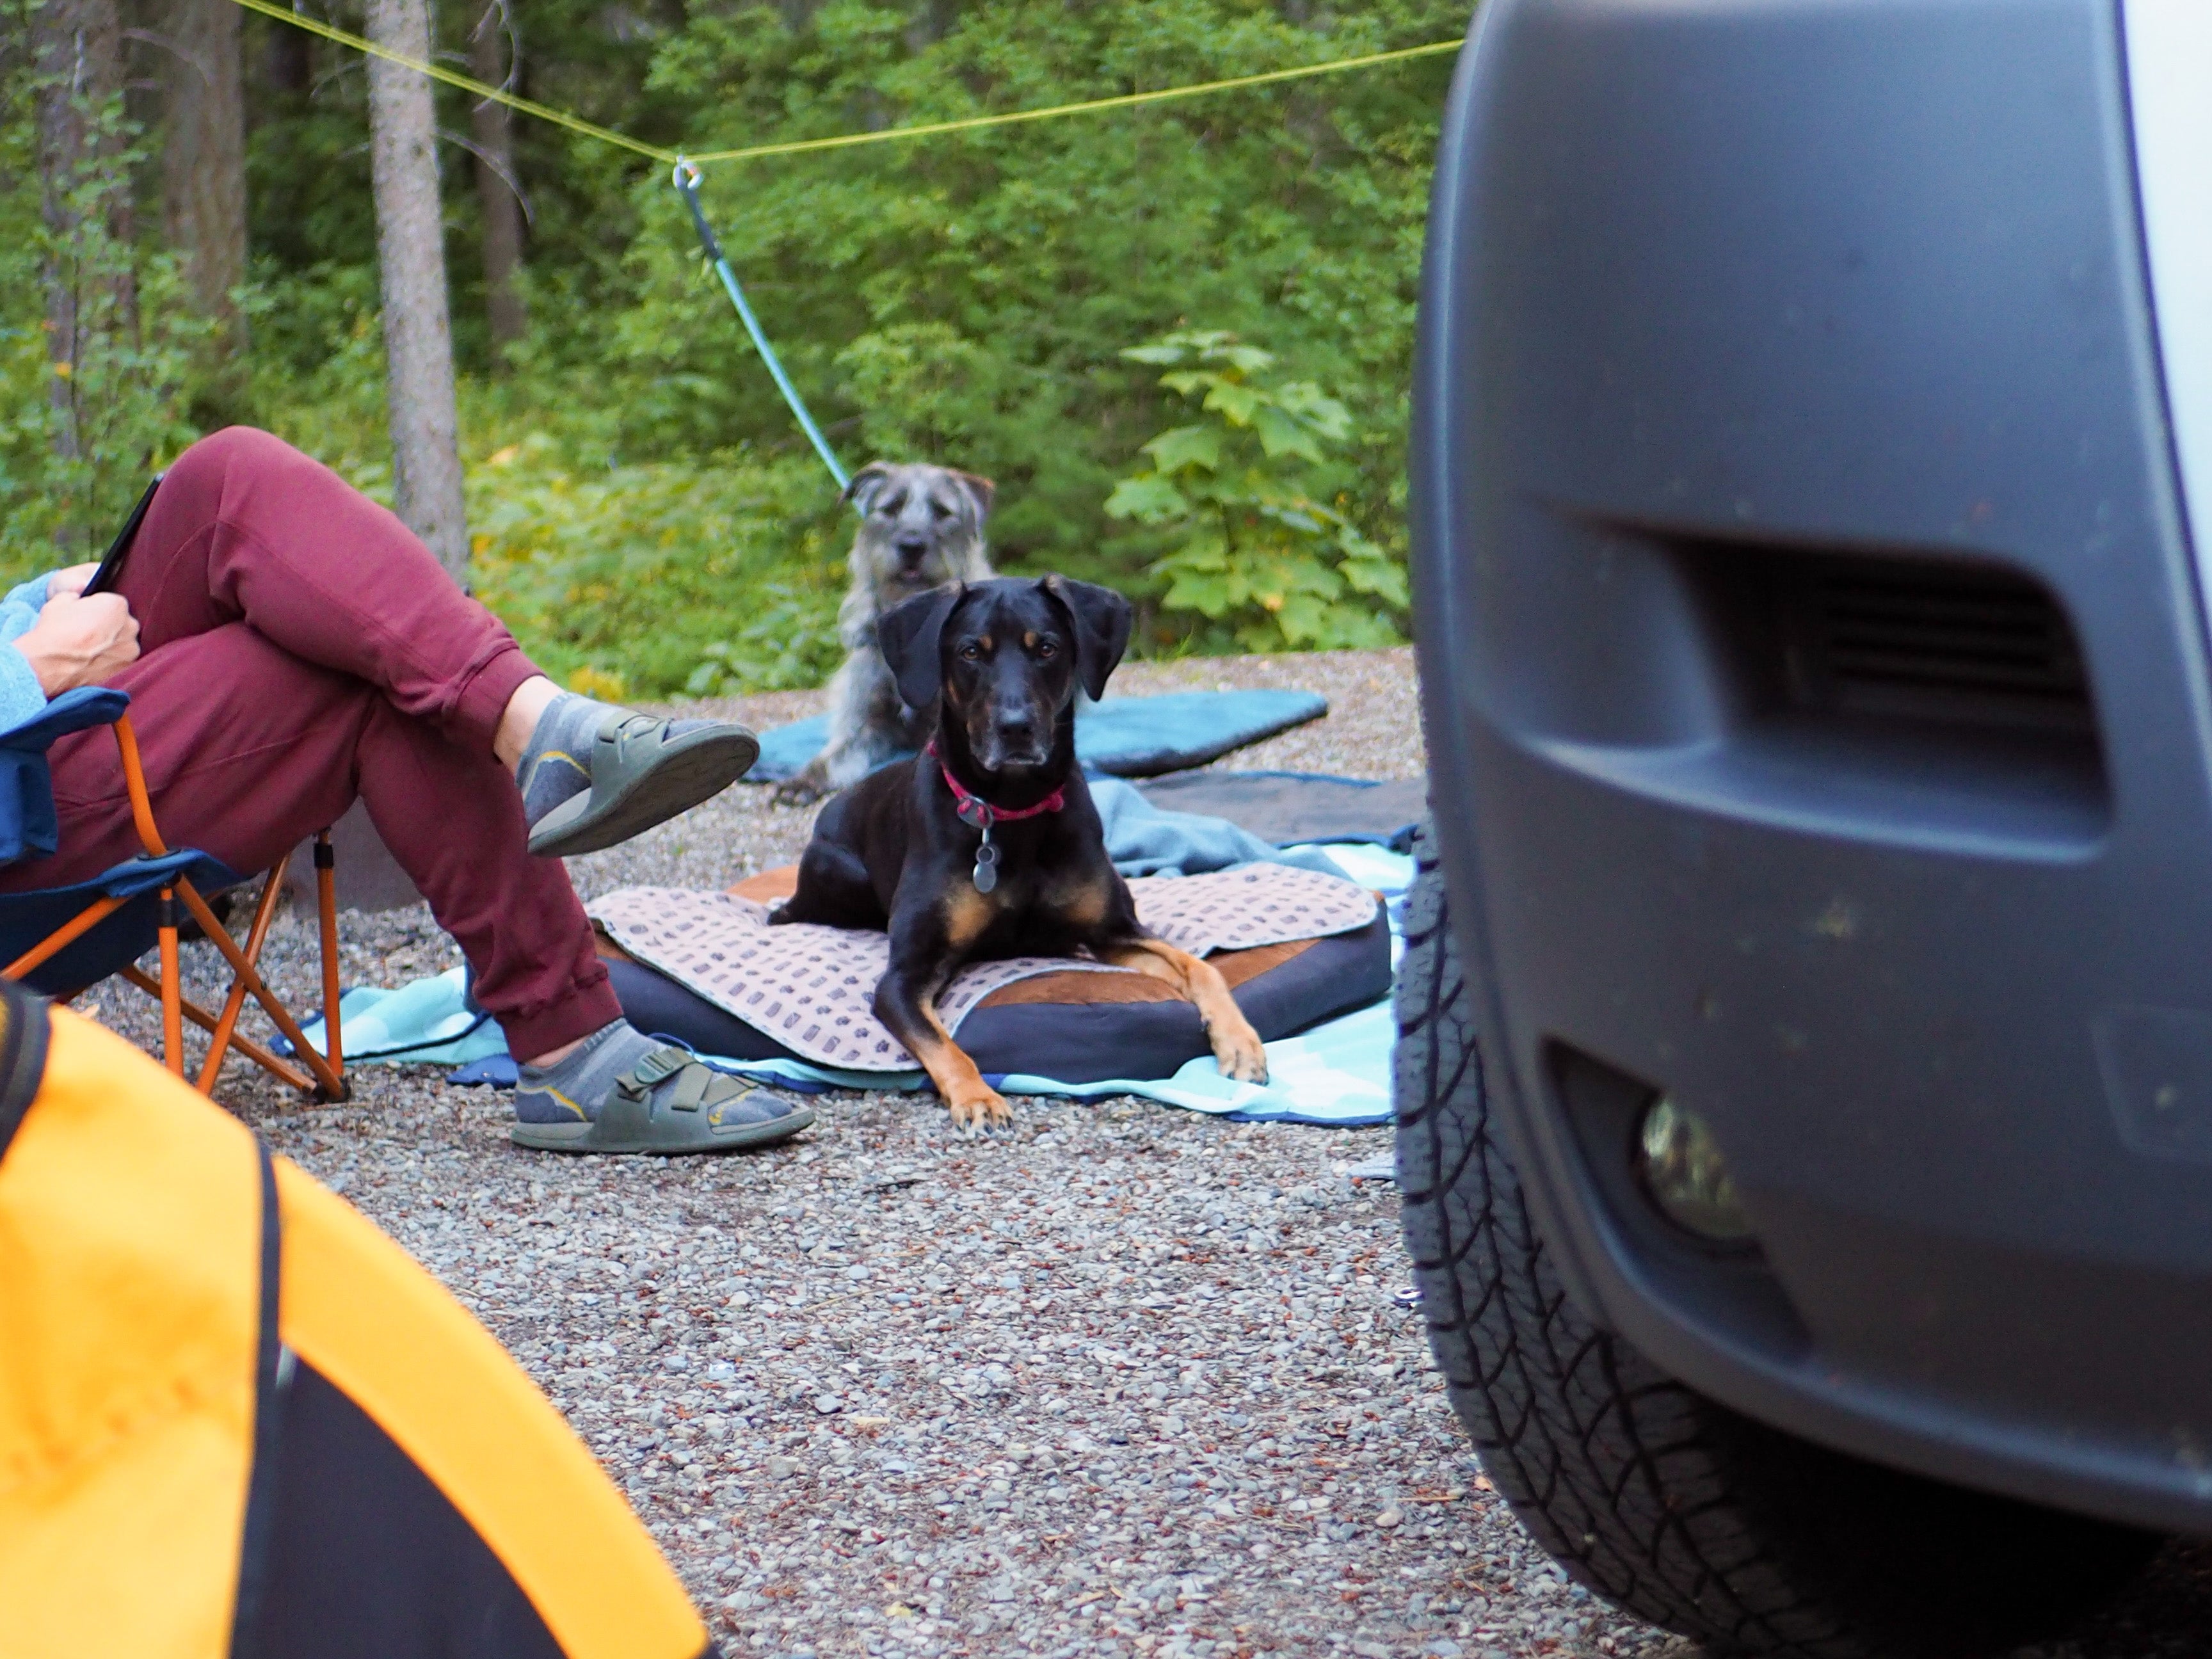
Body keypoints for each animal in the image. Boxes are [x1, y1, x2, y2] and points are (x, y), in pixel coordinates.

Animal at [769, 464, 995, 809]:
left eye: (942, 511)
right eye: (891, 508)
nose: (912, 546)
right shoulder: (867, 721)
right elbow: (834, 756)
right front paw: (802, 781)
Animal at [774, 575, 1265, 1132]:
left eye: (1046, 648)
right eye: (970, 652)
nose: (1016, 727)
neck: (1013, 811)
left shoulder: (1113, 931)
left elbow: (1200, 968)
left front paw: (1240, 1042)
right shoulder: (903, 977)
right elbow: (943, 1043)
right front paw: (978, 1098)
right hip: (837, 873)